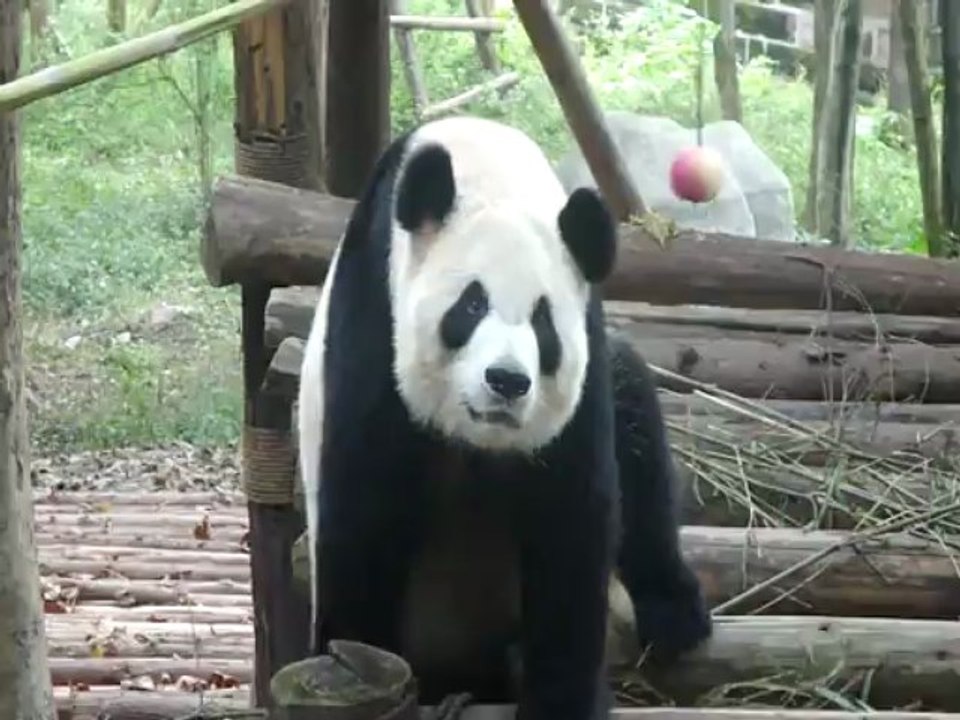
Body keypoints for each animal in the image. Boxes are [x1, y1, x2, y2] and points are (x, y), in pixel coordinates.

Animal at [297, 115, 711, 720]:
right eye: (471, 305)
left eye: (543, 323)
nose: (507, 381)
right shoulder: (375, 321)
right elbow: (363, 510)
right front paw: (346, 653)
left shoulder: (581, 369)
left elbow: (573, 520)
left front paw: (564, 700)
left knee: (638, 424)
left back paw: (673, 615)